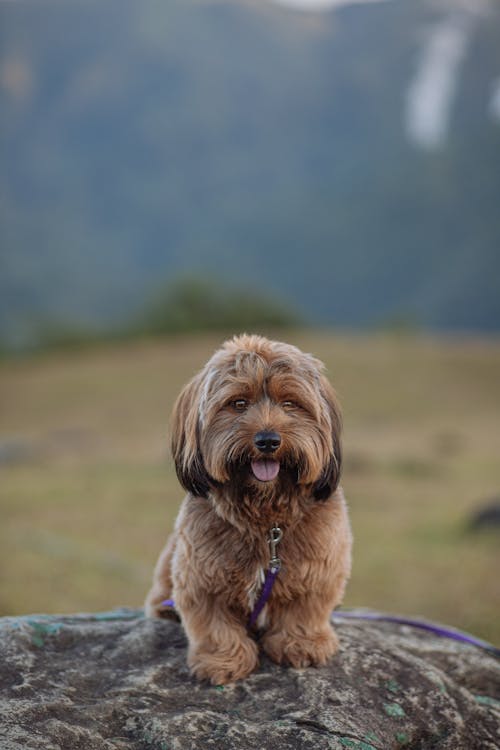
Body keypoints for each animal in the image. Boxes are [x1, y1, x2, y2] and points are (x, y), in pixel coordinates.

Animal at [146, 336, 352, 688]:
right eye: (238, 403)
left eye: (290, 403)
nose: (267, 440)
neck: (266, 519)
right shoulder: (201, 578)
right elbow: (215, 626)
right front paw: (223, 661)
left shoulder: (319, 569)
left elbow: (305, 610)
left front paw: (302, 644)